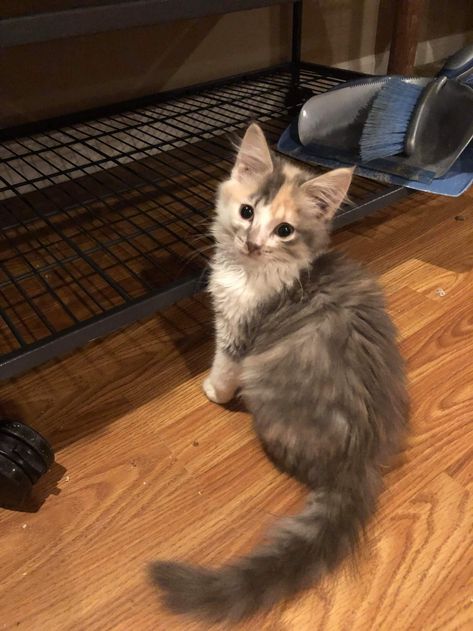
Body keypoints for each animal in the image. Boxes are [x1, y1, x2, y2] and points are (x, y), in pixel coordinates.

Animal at [150, 122, 406, 624]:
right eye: (247, 211)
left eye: (284, 231)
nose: (252, 242)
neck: (254, 271)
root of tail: (360, 459)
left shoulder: (239, 332)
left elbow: (223, 365)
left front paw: (214, 391)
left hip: (266, 385)